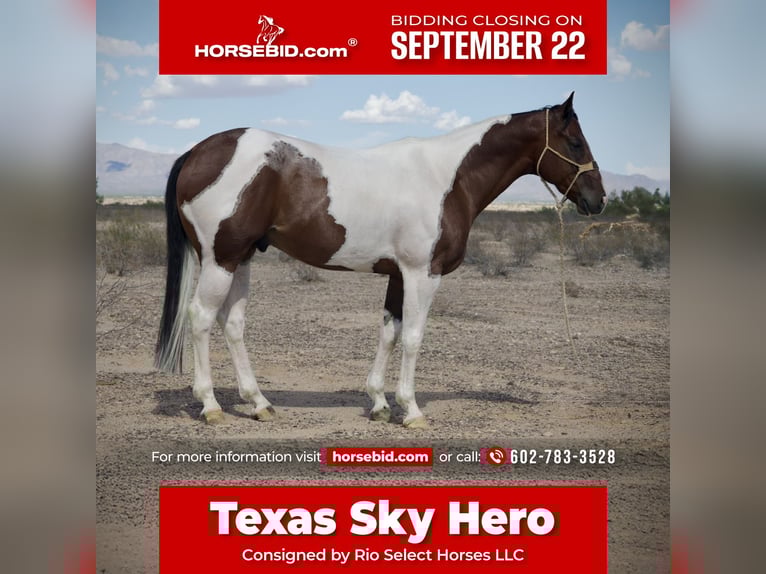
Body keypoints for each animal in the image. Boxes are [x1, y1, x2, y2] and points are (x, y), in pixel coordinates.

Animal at [154, 92, 605, 428]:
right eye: (575, 143)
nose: (597, 199)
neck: (446, 178)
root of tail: (195, 152)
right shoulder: (423, 274)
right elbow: (413, 337)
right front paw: (412, 410)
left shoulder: (398, 275)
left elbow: (389, 332)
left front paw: (380, 404)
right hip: (221, 260)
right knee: (200, 318)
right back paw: (211, 406)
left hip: (241, 259)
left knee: (232, 324)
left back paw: (259, 403)